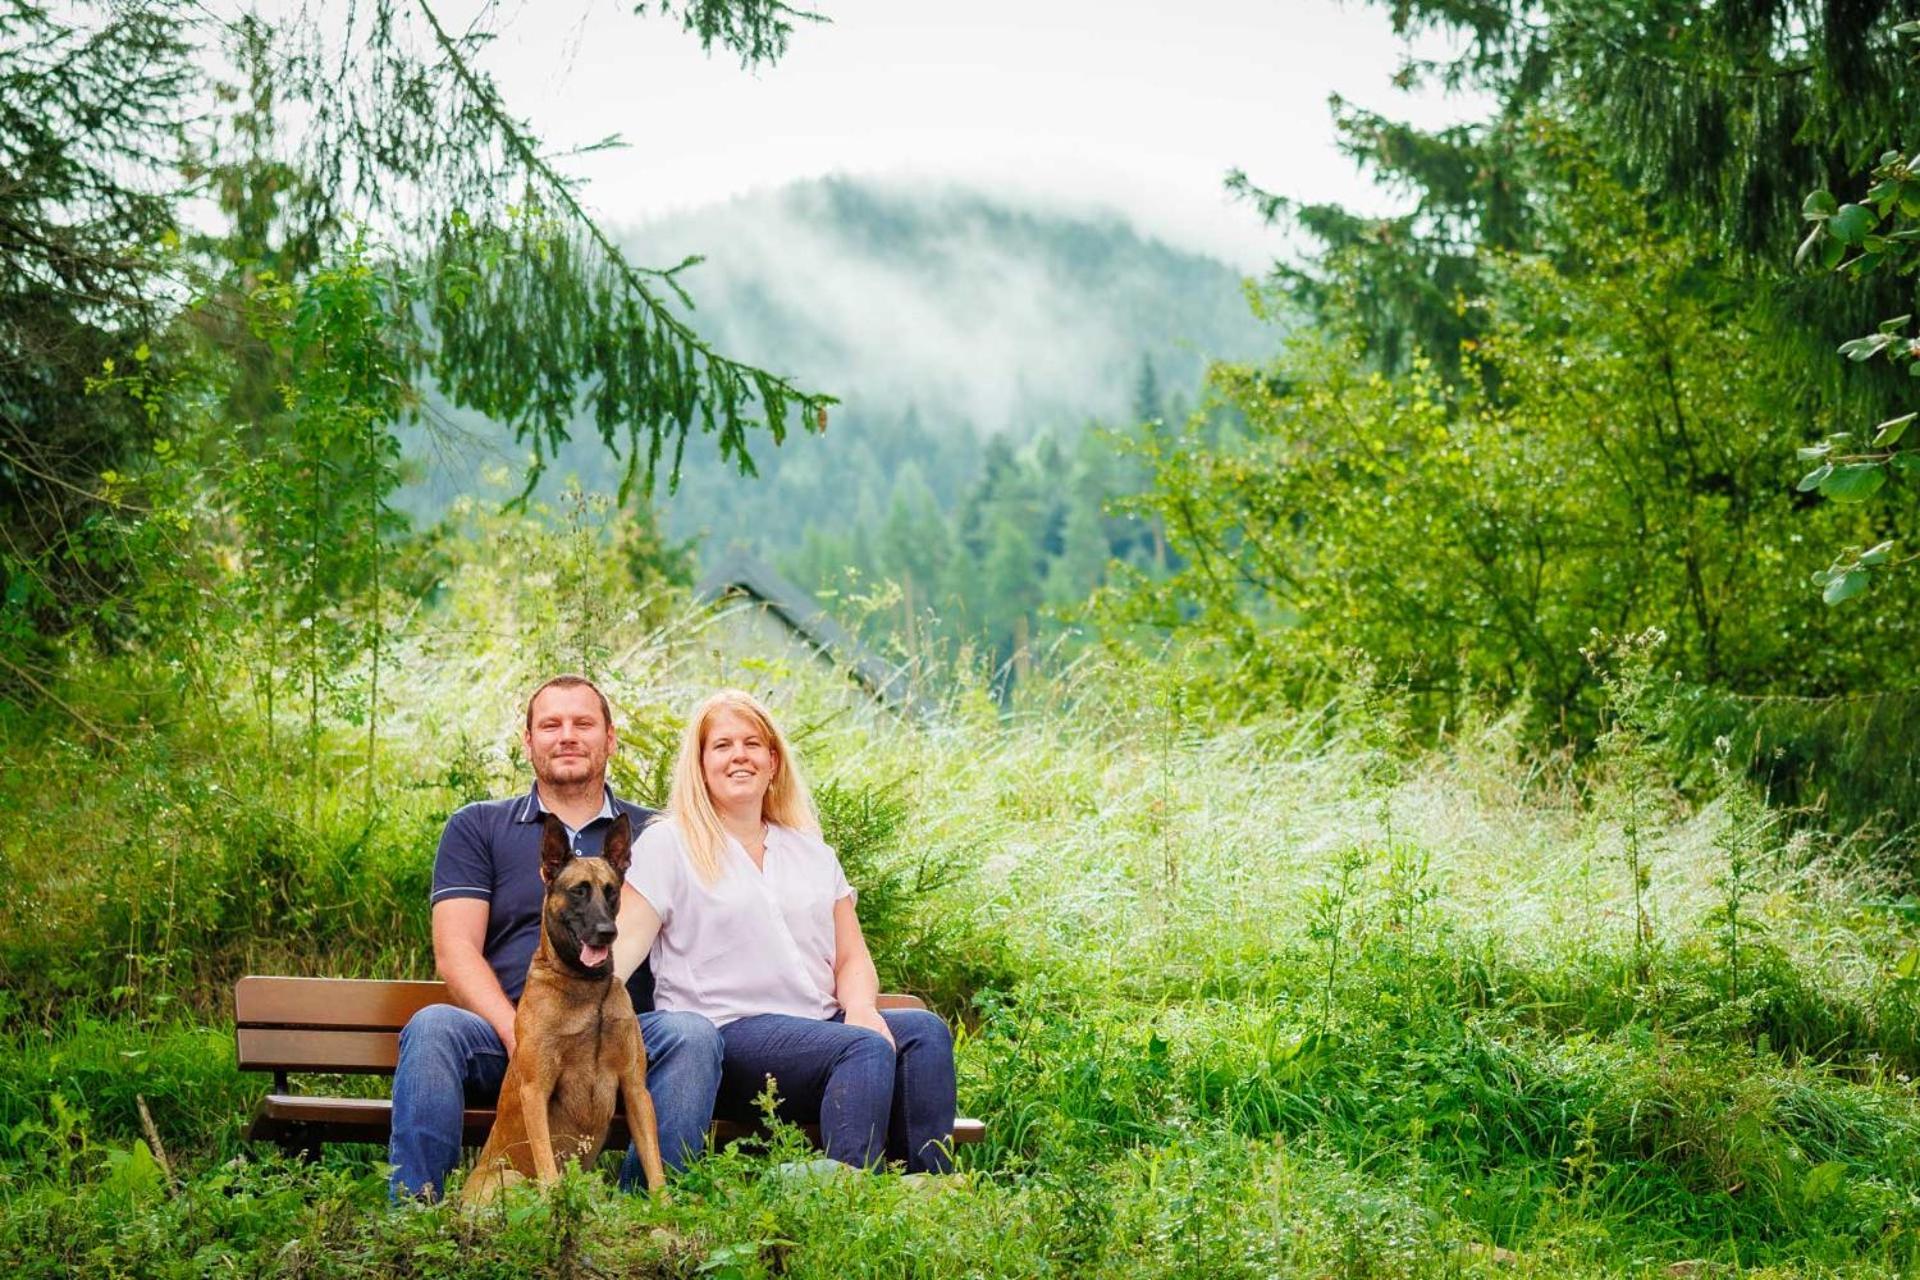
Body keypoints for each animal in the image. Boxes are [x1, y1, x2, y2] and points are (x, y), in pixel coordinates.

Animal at [462, 809, 668, 1205]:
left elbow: (654, 1165)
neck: (589, 988)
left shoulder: (635, 1088)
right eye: (578, 891)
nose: (606, 932)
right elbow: (548, 1169)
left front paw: (666, 1208)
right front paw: (557, 1201)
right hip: (509, 1178)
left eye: (611, 892)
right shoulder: (535, 1090)